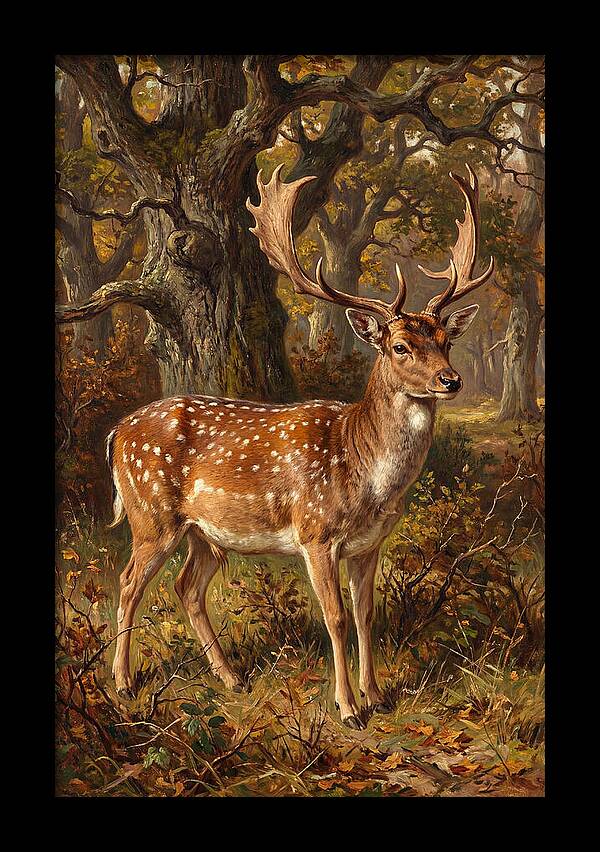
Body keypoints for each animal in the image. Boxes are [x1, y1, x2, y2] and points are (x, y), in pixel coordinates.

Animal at [106, 163, 494, 729]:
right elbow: (335, 617)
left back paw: (231, 677)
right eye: (400, 346)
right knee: (129, 582)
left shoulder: (369, 543)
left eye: (446, 341)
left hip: (206, 533)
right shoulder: (316, 534)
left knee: (187, 589)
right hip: (151, 514)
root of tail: (117, 432)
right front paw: (348, 708)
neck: (365, 473)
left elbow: (366, 613)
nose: (451, 380)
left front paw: (378, 696)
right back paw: (122, 682)